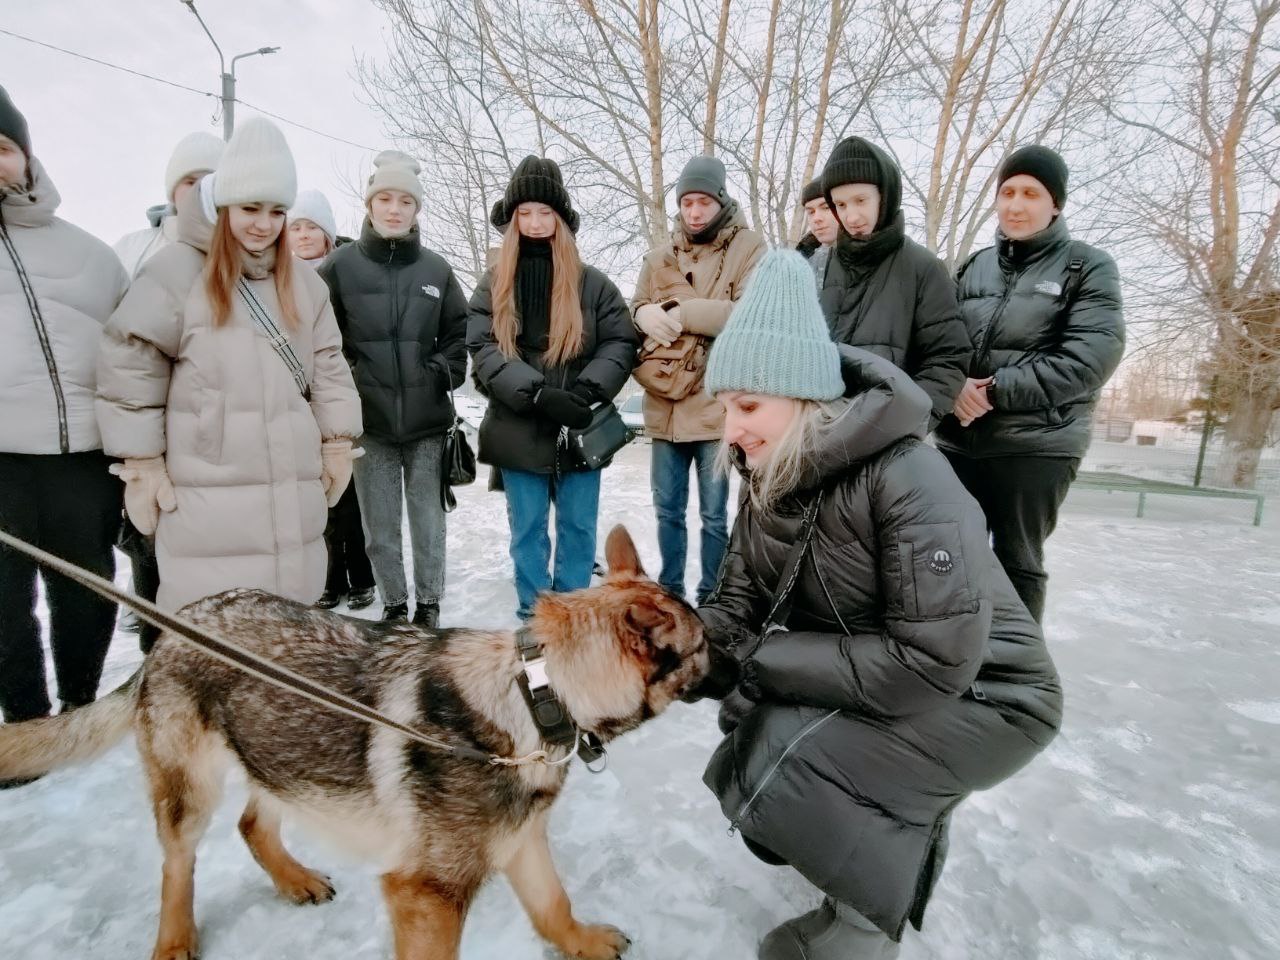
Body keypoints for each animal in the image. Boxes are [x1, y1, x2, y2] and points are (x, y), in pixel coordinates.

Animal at [0, 529, 711, 960]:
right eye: (706, 646)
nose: (736, 654)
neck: (535, 691)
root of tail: (173, 627)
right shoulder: (426, 895)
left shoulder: (519, 842)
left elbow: (553, 903)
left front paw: (580, 940)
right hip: (192, 790)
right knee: (179, 864)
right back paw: (175, 939)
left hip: (285, 758)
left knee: (253, 824)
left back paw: (294, 881)